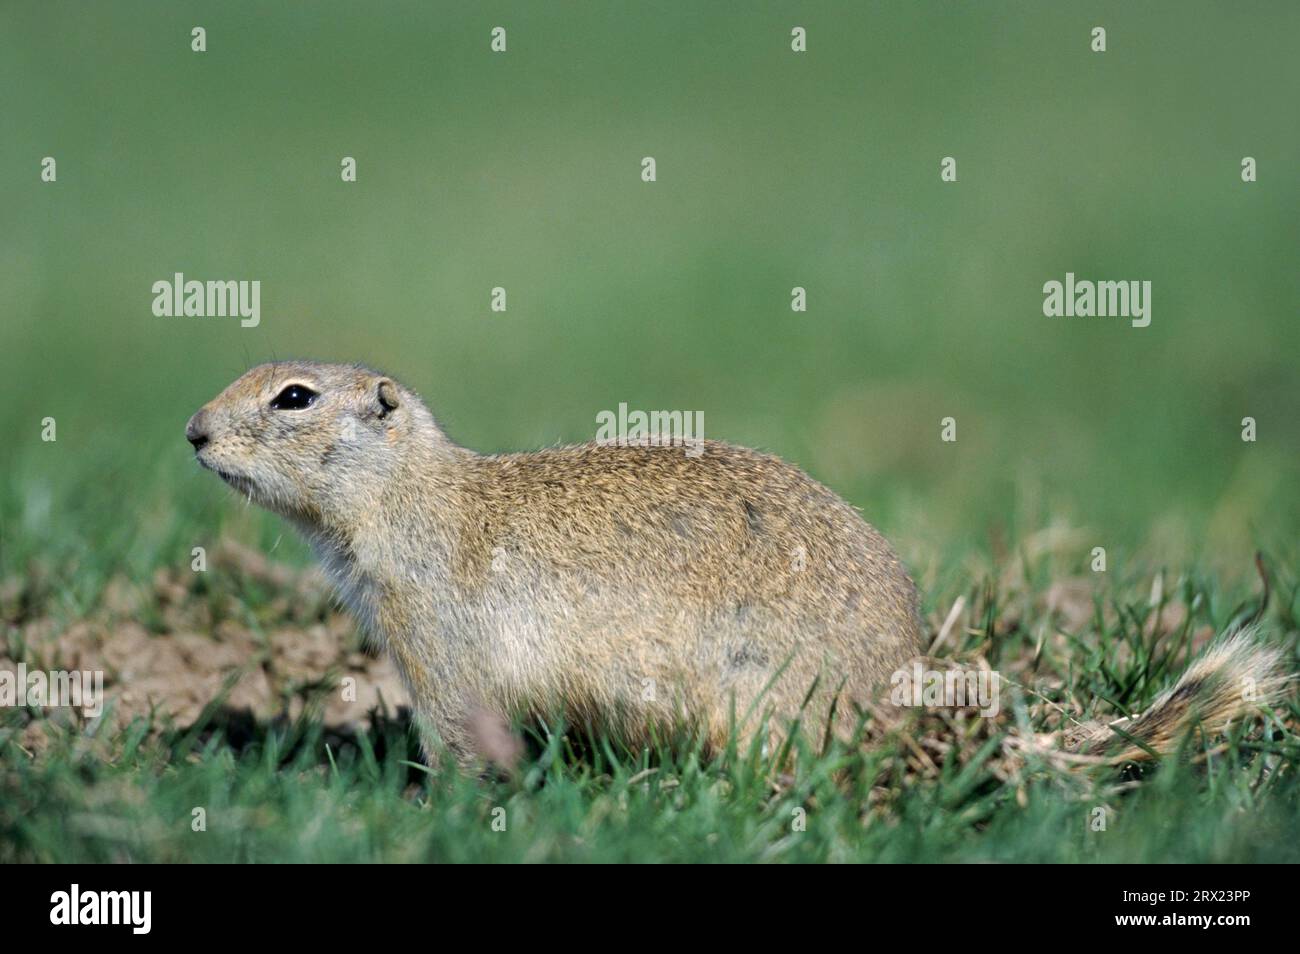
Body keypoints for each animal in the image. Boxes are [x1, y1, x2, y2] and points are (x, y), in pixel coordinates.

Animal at [187, 361, 1290, 769]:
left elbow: (457, 731)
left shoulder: (435, 636)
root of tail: (896, 697)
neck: (411, 492)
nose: (193, 431)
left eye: (293, 397)